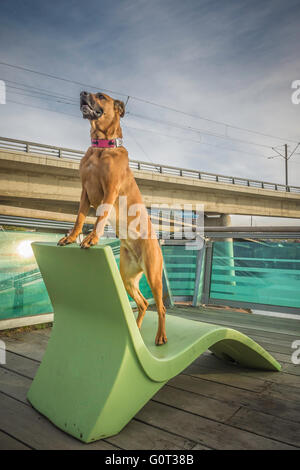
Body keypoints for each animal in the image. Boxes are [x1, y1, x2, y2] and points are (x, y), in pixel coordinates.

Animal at [57, 91, 168, 346]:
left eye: (101, 96)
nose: (82, 93)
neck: (100, 148)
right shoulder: (84, 192)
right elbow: (79, 218)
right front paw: (72, 237)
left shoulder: (110, 190)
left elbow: (100, 218)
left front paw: (91, 239)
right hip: (126, 276)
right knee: (143, 303)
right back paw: (136, 330)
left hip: (154, 276)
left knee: (161, 307)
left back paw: (160, 336)